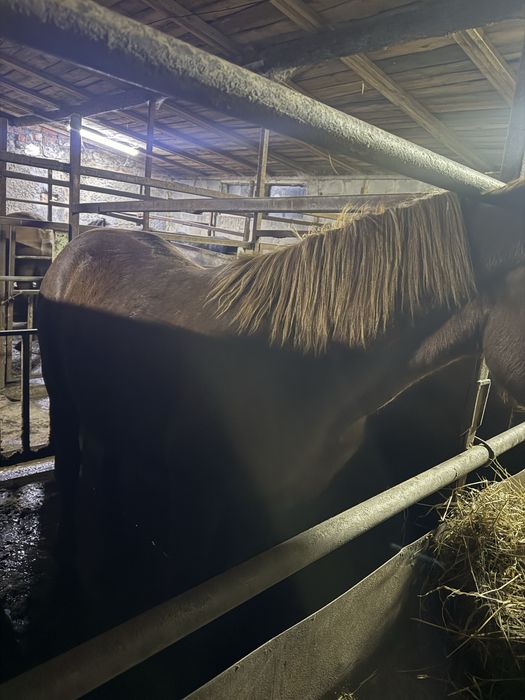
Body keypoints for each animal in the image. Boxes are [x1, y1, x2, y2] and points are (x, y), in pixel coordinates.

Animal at [36, 181, 525, 694]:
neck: (296, 369)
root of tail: (80, 243)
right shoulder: (200, 501)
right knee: (69, 467)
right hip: (63, 401)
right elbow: (197, 592)